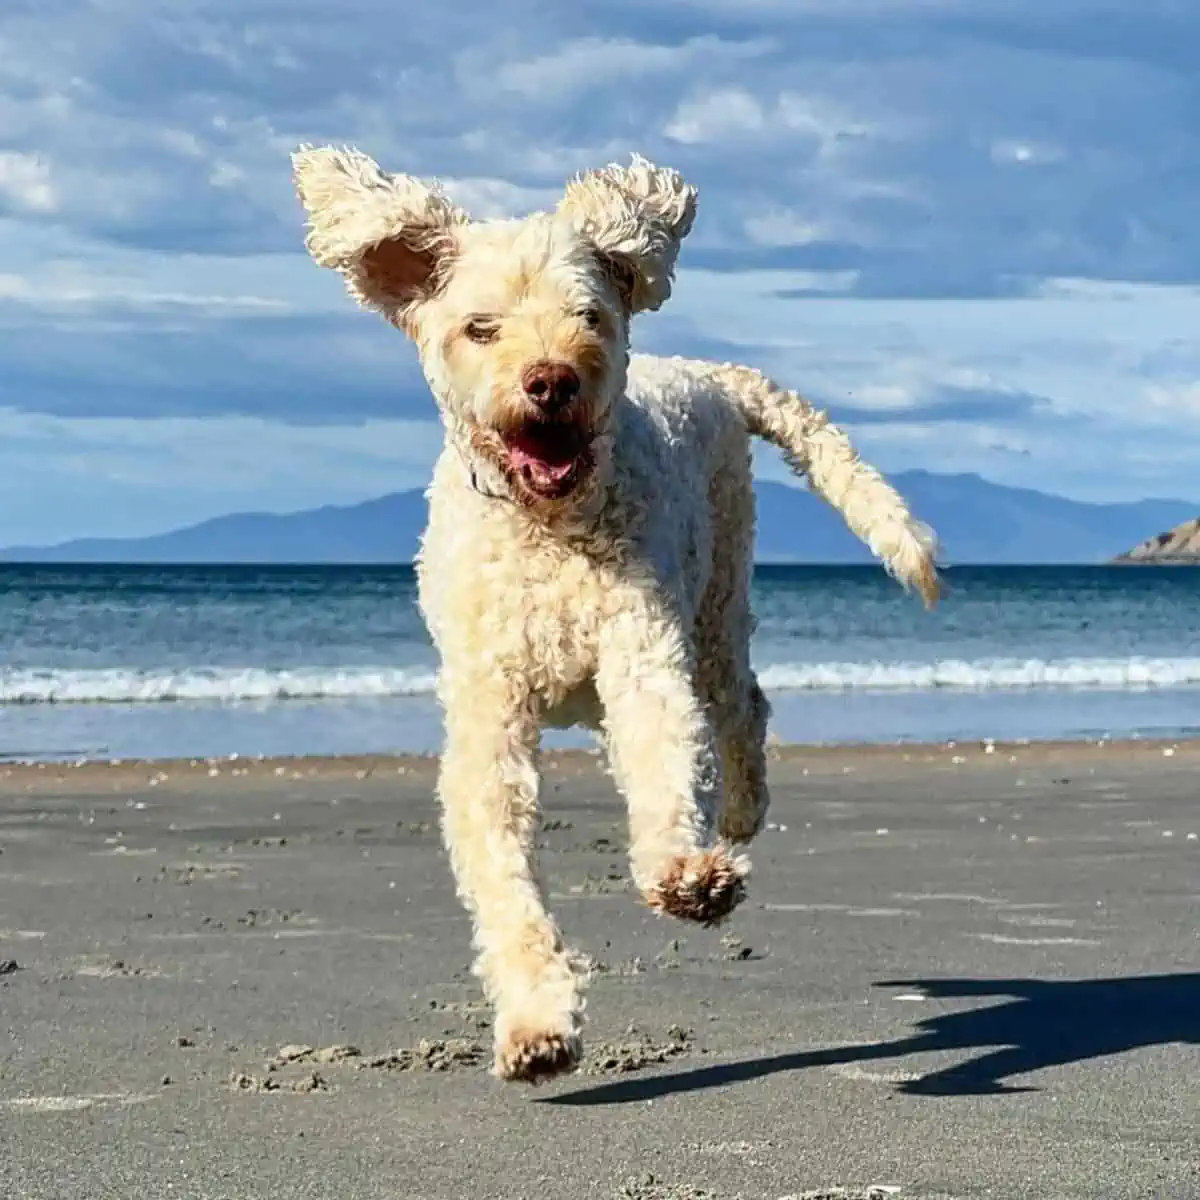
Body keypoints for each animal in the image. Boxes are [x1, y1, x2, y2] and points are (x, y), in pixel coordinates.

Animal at [295, 145, 940, 1084]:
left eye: (589, 316)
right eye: (481, 328)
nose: (552, 381)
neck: (551, 531)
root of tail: (709, 375)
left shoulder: (643, 652)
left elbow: (666, 754)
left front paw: (686, 873)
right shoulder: (490, 715)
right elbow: (503, 872)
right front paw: (534, 1024)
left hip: (713, 600)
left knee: (741, 705)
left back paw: (738, 815)